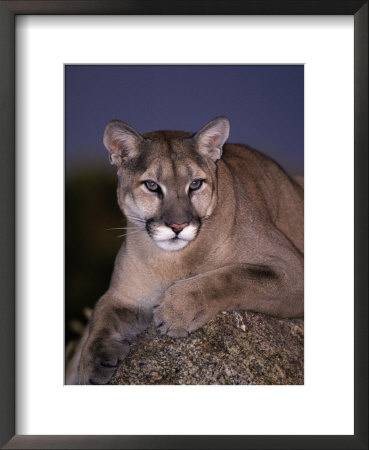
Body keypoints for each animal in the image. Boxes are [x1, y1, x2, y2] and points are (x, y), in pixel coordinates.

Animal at [66, 115, 302, 384]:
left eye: (195, 184)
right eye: (152, 185)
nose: (178, 226)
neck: (173, 261)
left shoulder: (292, 269)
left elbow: (234, 277)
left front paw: (176, 310)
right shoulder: (125, 296)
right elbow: (100, 318)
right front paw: (90, 367)